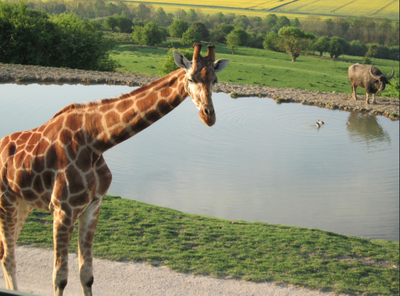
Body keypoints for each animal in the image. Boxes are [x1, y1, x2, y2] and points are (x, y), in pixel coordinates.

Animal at [0, 44, 230, 296]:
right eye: (190, 78)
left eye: (215, 80)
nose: (209, 116)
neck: (96, 141)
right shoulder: (63, 209)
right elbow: (59, 278)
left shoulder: (92, 206)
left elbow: (87, 275)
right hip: (6, 202)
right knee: (8, 256)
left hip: (24, 204)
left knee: (9, 251)